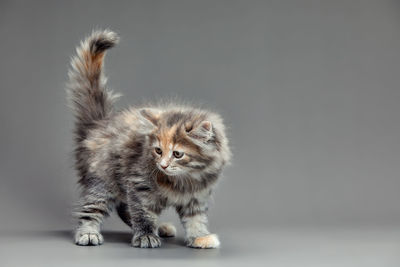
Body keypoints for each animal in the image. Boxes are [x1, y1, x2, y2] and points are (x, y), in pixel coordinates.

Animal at [67, 30, 231, 250]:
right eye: (158, 151)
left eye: (177, 154)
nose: (162, 165)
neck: (187, 178)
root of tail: (100, 124)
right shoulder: (139, 184)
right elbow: (142, 212)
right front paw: (145, 235)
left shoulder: (196, 196)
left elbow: (195, 218)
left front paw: (199, 237)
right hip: (103, 178)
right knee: (93, 207)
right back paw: (88, 233)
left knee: (124, 208)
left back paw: (160, 228)